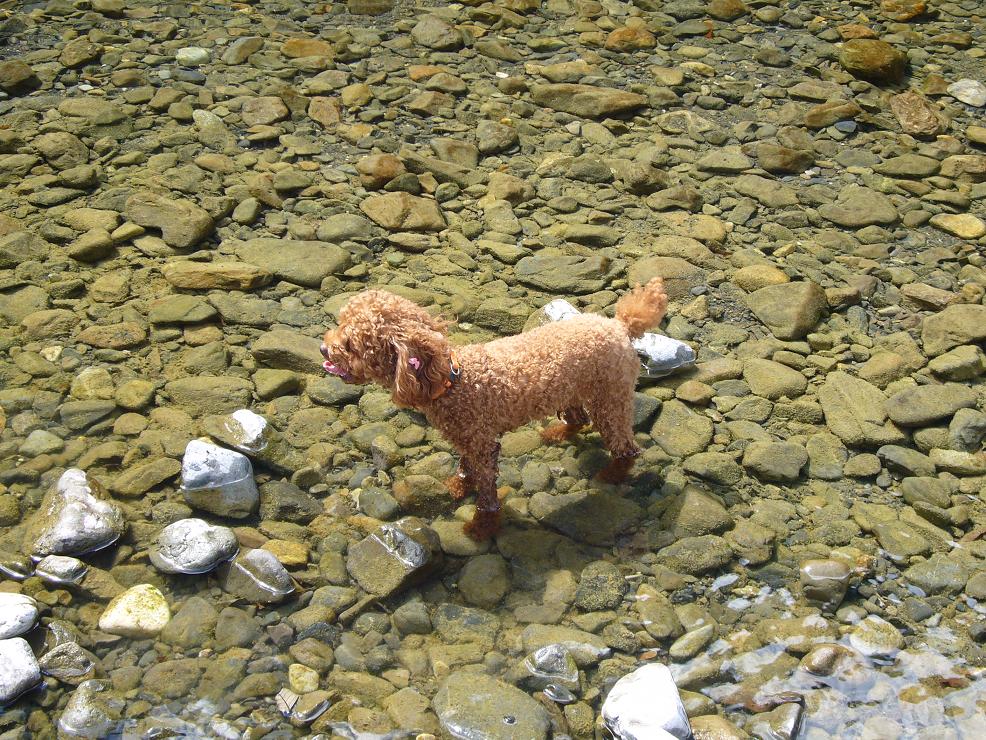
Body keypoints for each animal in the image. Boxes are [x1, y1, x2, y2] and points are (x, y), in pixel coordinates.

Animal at [320, 278, 668, 540]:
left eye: (351, 345)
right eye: (339, 325)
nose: (323, 348)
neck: (453, 381)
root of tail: (619, 326)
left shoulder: (483, 443)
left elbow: (487, 492)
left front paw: (481, 526)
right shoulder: (468, 438)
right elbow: (465, 468)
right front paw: (456, 487)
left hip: (611, 398)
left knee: (625, 446)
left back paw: (611, 474)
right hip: (570, 390)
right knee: (579, 418)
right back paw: (557, 433)